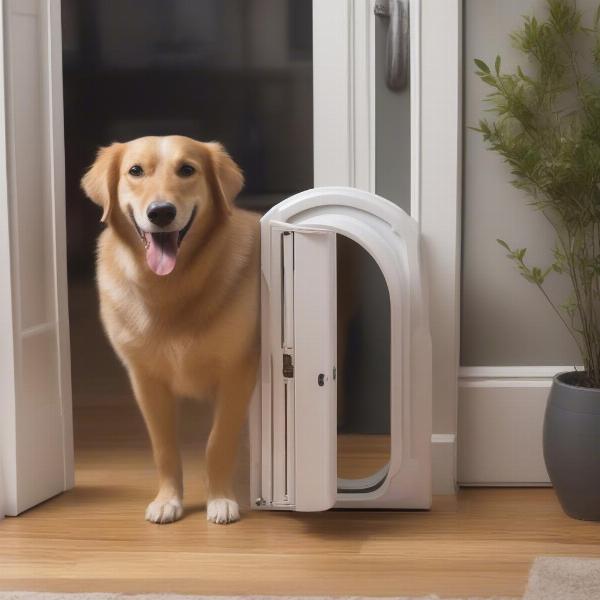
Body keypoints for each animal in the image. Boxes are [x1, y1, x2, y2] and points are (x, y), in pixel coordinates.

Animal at [81, 136, 258, 524]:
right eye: (135, 171)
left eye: (187, 169)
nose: (160, 212)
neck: (168, 287)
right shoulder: (145, 381)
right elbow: (163, 447)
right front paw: (168, 499)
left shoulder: (237, 374)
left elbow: (218, 442)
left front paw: (220, 499)